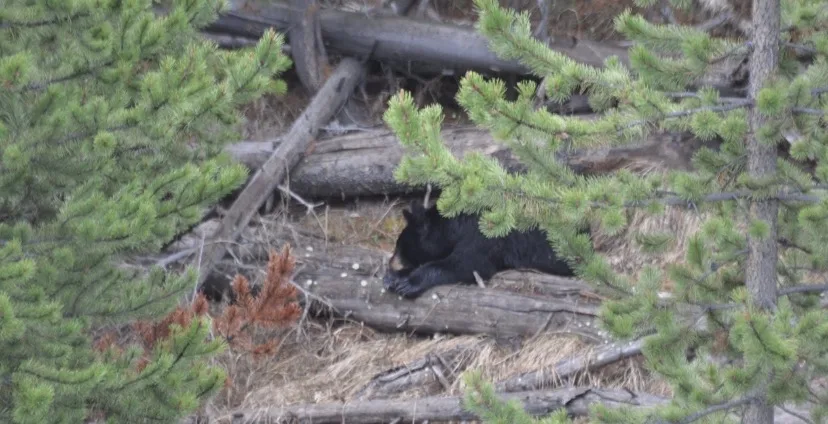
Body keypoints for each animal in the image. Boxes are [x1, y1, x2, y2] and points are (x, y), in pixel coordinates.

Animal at [383, 200, 579, 298]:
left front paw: (409, 283)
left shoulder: (484, 237)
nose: (391, 262)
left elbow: (466, 264)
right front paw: (393, 277)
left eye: (399, 247)